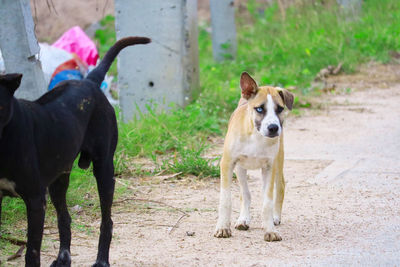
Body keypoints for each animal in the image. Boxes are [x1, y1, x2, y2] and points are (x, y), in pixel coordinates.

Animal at [0, 36, 150, 266]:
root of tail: (89, 81)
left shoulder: (35, 200)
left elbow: (32, 252)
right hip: (58, 180)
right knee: (65, 218)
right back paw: (64, 258)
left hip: (104, 170)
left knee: (107, 221)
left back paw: (101, 260)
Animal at [216, 71, 294, 243]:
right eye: (259, 109)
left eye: (280, 109)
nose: (273, 128)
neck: (256, 136)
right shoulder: (227, 163)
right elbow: (226, 200)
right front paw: (223, 227)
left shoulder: (269, 167)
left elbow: (267, 202)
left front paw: (270, 230)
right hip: (240, 168)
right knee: (245, 194)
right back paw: (243, 219)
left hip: (278, 161)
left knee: (280, 186)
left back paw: (275, 217)